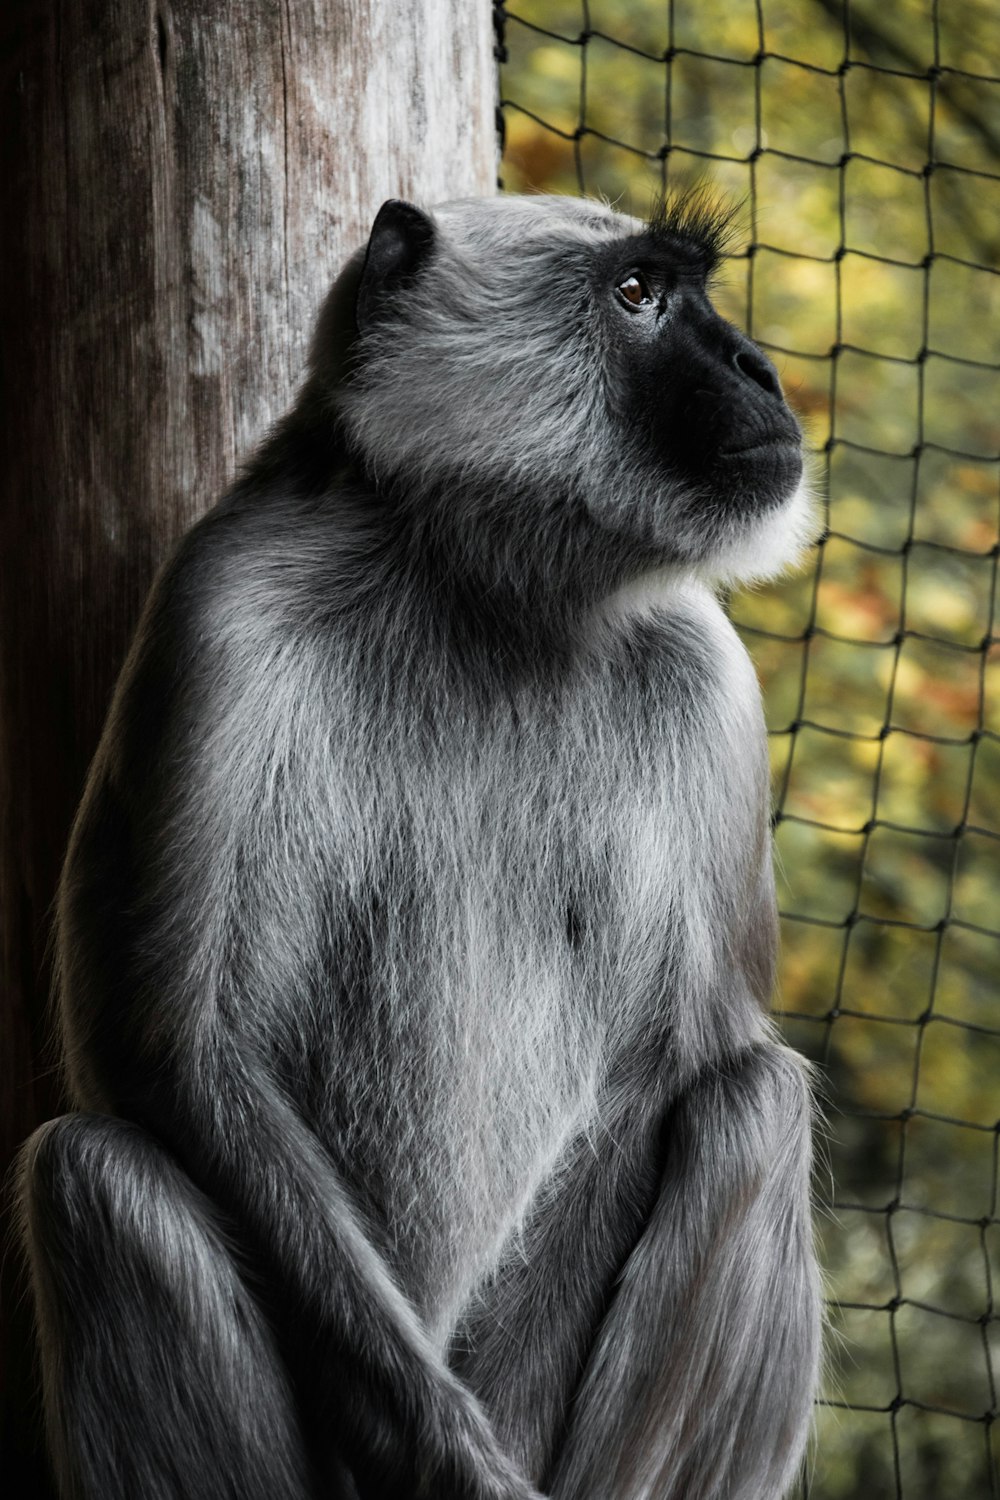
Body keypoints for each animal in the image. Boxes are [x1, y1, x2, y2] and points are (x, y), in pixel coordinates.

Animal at [19, 193, 821, 1500]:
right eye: (637, 294)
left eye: (675, 291)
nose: (758, 370)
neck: (478, 590)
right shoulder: (220, 609)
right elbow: (167, 1051)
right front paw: (450, 1462)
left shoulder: (707, 675)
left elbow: (672, 1065)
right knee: (95, 1173)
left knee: (754, 1100)